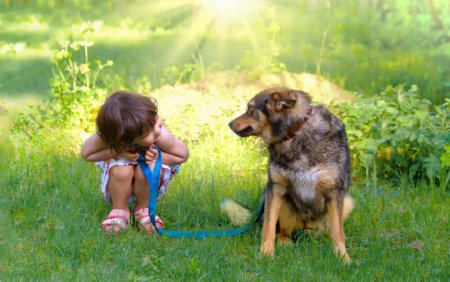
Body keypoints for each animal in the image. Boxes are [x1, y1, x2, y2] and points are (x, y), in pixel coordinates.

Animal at [230, 87, 354, 264]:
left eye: (250, 109)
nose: (230, 124)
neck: (295, 132)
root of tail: (305, 227)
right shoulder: (275, 188)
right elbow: (268, 228)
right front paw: (266, 254)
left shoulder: (335, 192)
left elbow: (338, 232)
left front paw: (343, 258)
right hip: (283, 204)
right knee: (283, 232)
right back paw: (285, 243)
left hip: (347, 203)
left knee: (325, 232)